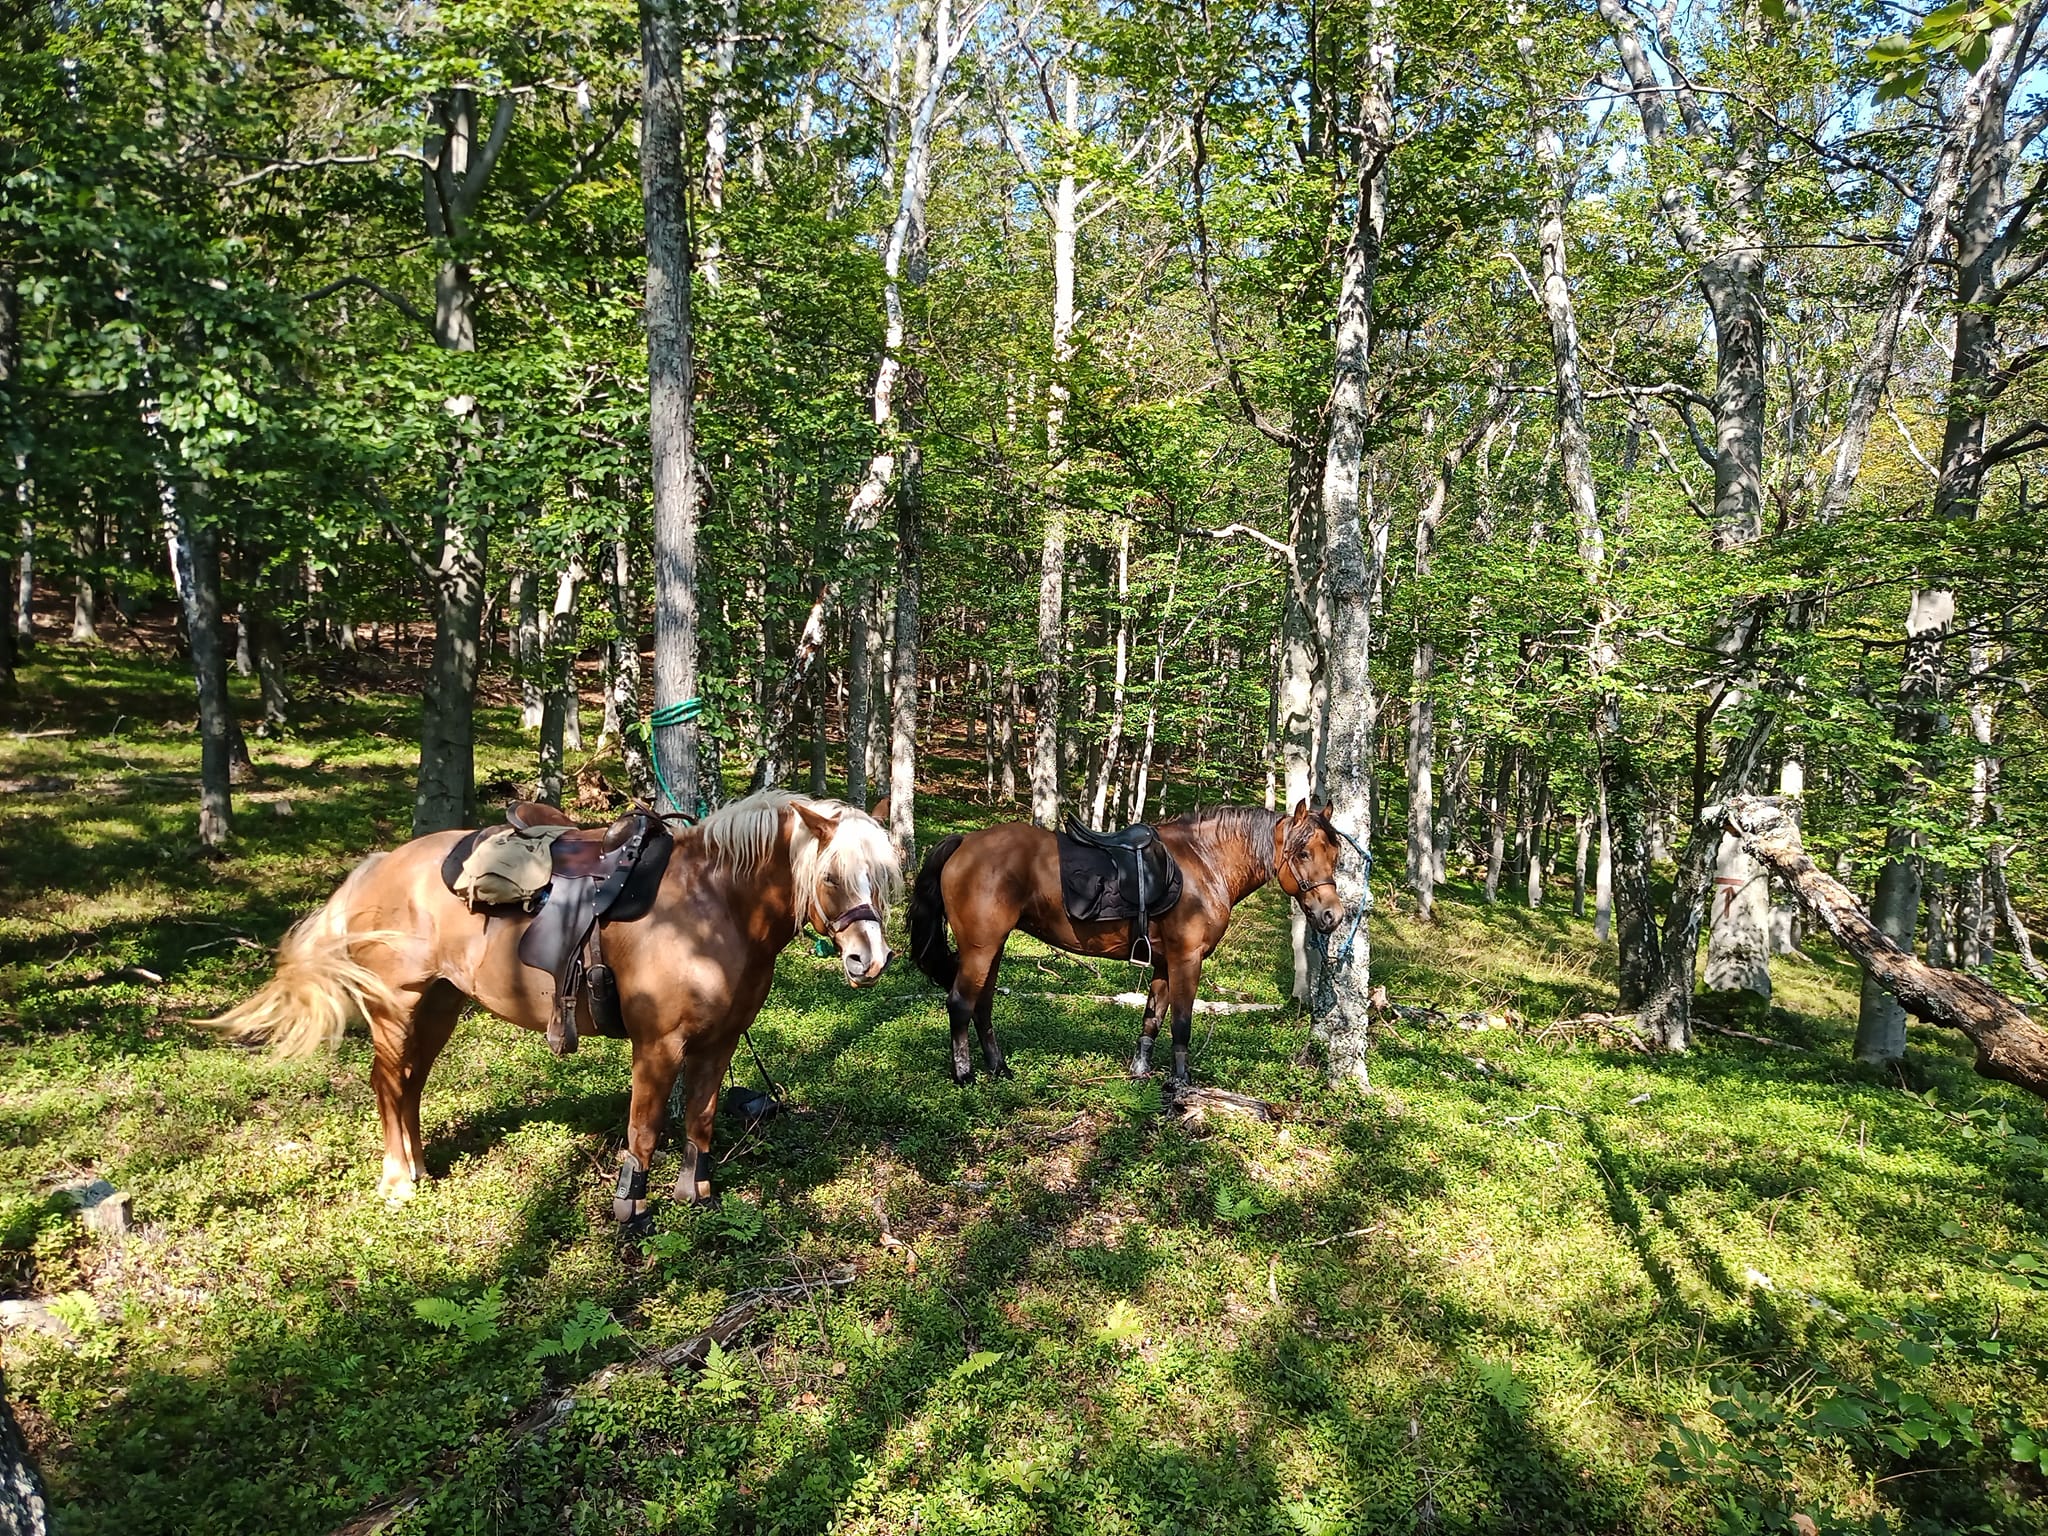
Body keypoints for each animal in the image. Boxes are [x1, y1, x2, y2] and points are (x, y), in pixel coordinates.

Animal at [209, 794, 905, 1228]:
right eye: (833, 877)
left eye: (881, 876)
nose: (868, 959)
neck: (712, 907)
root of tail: (379, 866)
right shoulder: (657, 1046)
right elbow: (644, 1130)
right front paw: (631, 1213)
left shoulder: (719, 1041)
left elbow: (701, 1121)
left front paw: (697, 1196)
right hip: (395, 1007)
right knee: (386, 1085)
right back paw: (398, 1182)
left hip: (439, 1006)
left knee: (410, 1086)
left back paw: (422, 1171)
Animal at [913, 798, 1343, 1089]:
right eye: (1303, 852)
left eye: (1336, 854)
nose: (1332, 916)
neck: (1205, 865)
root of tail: (965, 841)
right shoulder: (1187, 959)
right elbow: (1182, 1021)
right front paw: (1180, 1083)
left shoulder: (1165, 962)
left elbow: (1153, 1016)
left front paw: (1141, 1071)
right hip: (980, 947)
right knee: (960, 1003)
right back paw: (965, 1074)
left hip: (994, 946)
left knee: (982, 1004)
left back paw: (999, 1069)